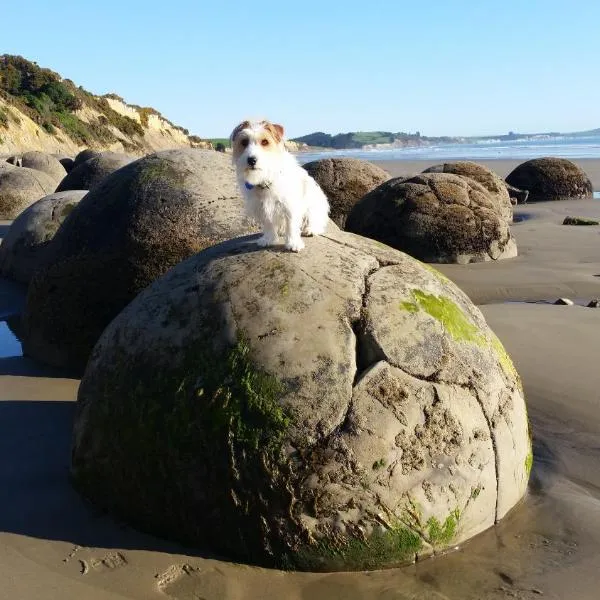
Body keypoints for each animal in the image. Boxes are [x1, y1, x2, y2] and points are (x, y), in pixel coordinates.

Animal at [232, 119, 330, 251]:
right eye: (244, 142)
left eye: (265, 142)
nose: (251, 160)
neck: (266, 178)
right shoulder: (262, 207)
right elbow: (268, 224)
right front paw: (268, 239)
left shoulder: (290, 205)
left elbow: (292, 225)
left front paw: (293, 243)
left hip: (314, 208)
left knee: (315, 221)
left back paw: (310, 229)